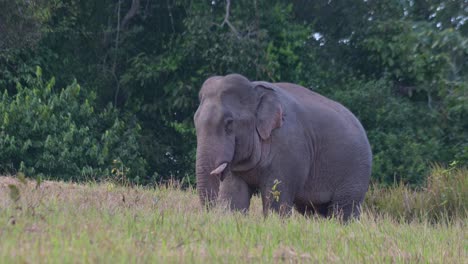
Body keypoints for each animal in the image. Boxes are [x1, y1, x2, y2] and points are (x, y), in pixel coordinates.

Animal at [194, 72, 372, 221]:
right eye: (195, 121)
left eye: (229, 123)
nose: (209, 213)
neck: (254, 88)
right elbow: (234, 195)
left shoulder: (288, 149)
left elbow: (276, 198)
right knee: (314, 211)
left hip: (356, 172)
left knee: (344, 210)